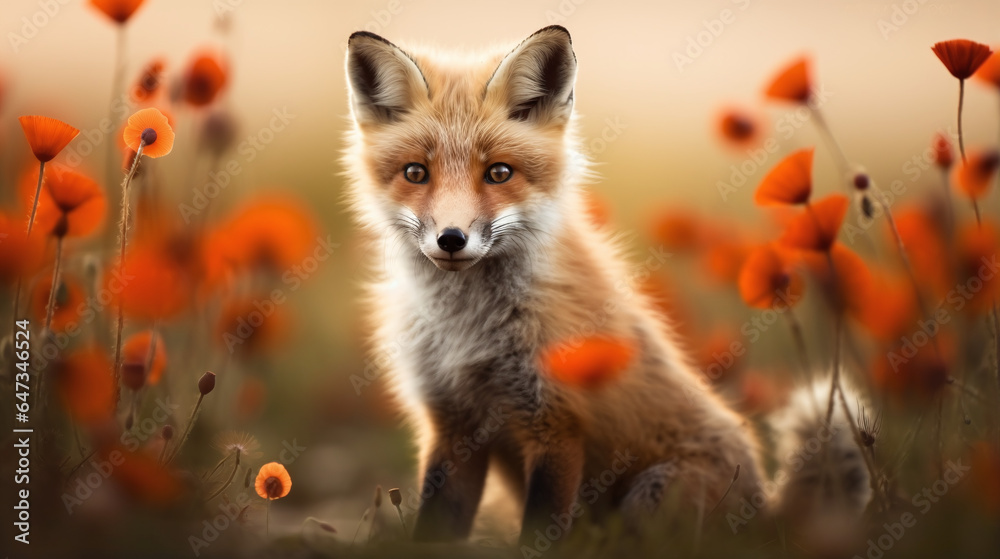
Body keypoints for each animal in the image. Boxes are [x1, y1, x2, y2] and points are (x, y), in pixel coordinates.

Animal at [342, 25, 871, 545]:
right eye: (416, 172)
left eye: (499, 173)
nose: (451, 239)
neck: (468, 329)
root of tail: (764, 512)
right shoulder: (453, 425)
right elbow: (434, 528)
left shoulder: (556, 423)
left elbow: (538, 536)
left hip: (651, 498)